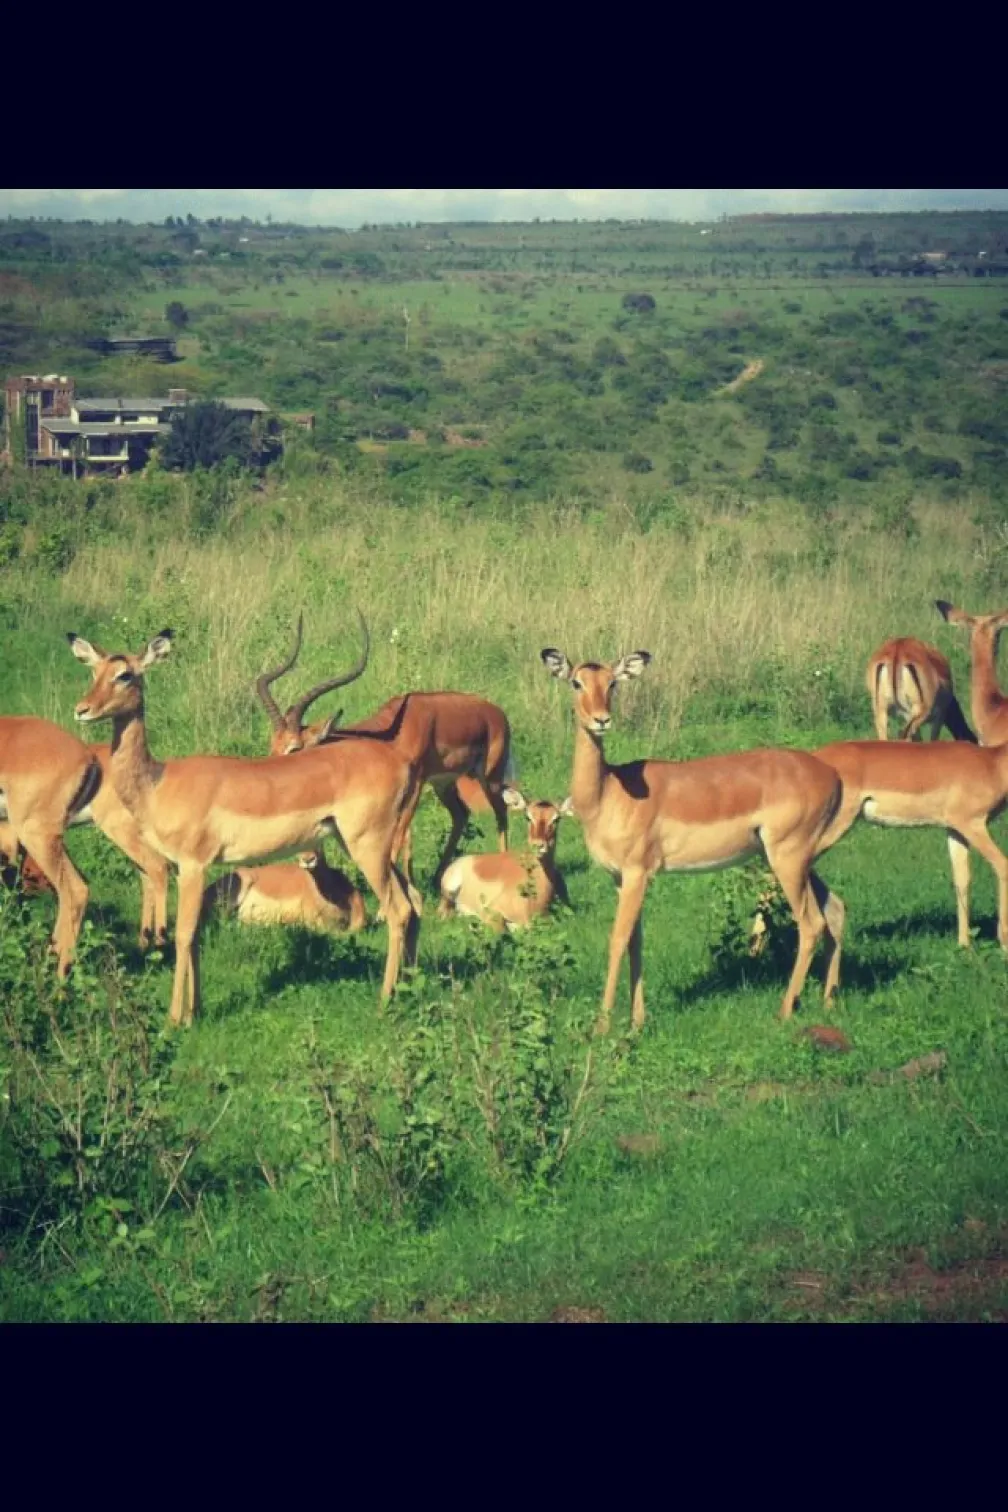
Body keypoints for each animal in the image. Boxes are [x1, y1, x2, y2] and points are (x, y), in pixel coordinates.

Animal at [256, 614, 514, 888]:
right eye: (272, 746)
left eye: (295, 747)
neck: (390, 736)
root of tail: (496, 713)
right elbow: (405, 837)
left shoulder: (415, 785)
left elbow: (399, 836)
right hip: (444, 783)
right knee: (461, 814)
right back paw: (436, 879)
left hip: (490, 776)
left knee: (501, 812)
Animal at [541, 649, 847, 1033]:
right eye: (576, 682)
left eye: (612, 683)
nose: (601, 720)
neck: (606, 793)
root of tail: (832, 775)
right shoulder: (620, 877)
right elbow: (636, 941)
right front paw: (637, 1021)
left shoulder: (638, 873)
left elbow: (618, 940)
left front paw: (602, 1028)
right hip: (799, 860)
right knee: (835, 909)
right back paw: (828, 1003)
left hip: (788, 860)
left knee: (811, 924)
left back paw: (784, 1011)